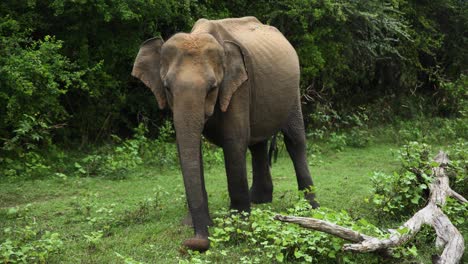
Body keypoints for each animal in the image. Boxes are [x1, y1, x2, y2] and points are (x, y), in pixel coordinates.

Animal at [133, 16, 320, 252]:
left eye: (212, 88)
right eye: (166, 87)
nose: (194, 241)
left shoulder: (238, 86)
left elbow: (234, 142)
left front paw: (237, 222)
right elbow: (190, 147)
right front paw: (193, 223)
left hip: (293, 90)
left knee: (294, 141)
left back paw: (310, 208)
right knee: (257, 143)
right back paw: (259, 200)